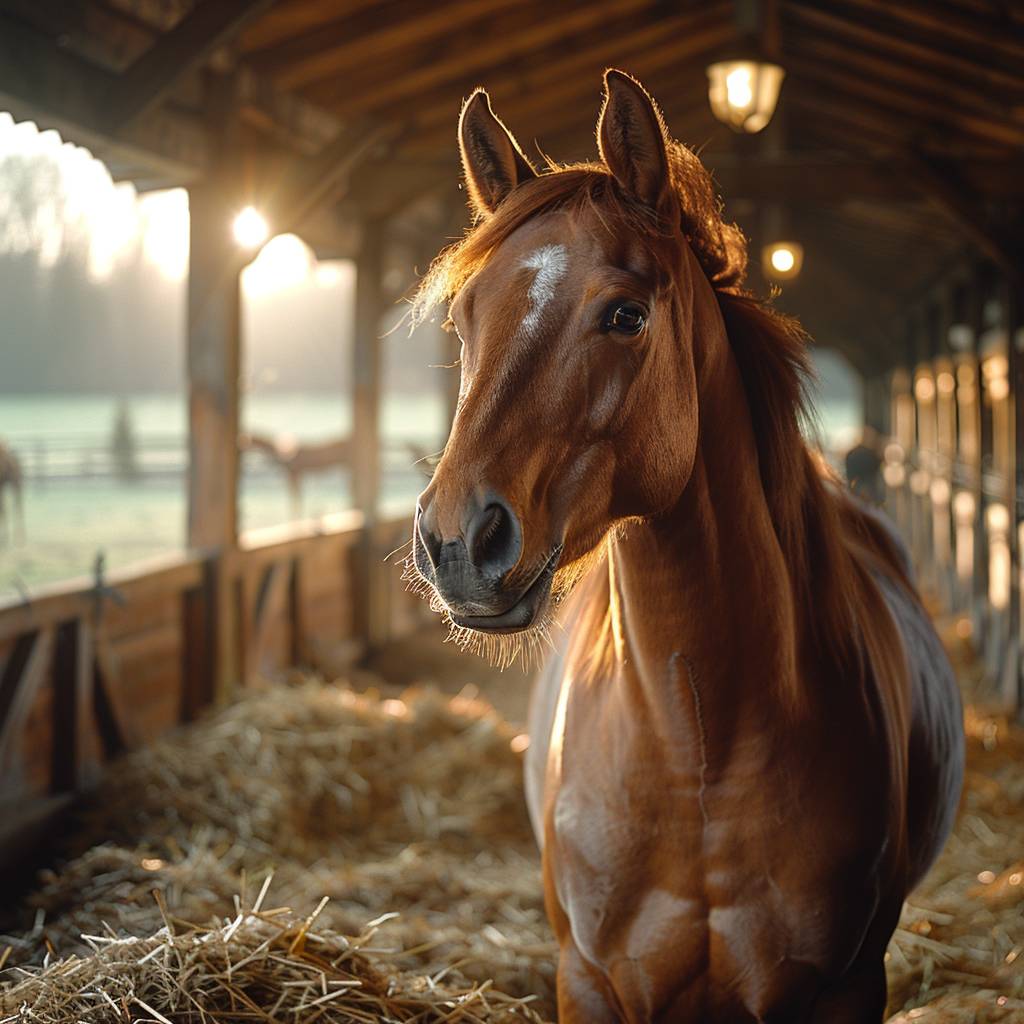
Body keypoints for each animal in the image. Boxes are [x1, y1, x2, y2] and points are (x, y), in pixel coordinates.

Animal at [405, 74, 958, 1024]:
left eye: (626, 315)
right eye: (463, 319)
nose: (458, 542)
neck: (695, 750)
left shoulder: (846, 985)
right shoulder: (587, 980)